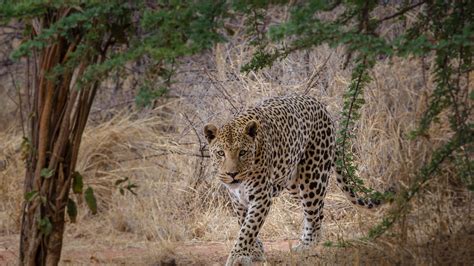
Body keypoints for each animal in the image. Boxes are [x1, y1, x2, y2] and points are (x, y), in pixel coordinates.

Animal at [205, 94, 382, 264]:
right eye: (220, 153)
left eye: (242, 152)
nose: (232, 174)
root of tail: (321, 106)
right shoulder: (237, 199)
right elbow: (244, 223)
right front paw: (255, 251)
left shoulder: (261, 196)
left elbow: (249, 227)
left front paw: (238, 256)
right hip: (295, 184)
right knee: (318, 211)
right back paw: (306, 239)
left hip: (312, 178)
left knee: (313, 213)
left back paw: (307, 245)